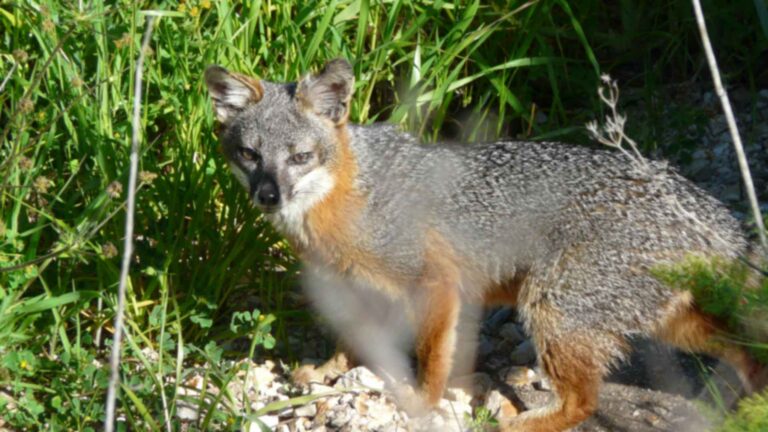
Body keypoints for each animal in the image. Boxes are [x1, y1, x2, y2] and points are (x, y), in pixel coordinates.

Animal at [204, 58, 766, 431]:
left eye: (300, 157)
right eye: (250, 154)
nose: (268, 195)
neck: (350, 193)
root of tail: (691, 198)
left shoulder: (435, 283)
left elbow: (432, 357)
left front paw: (422, 404)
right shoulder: (359, 286)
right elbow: (351, 340)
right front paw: (327, 372)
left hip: (551, 307)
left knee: (583, 403)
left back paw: (521, 423)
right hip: (669, 321)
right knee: (747, 353)